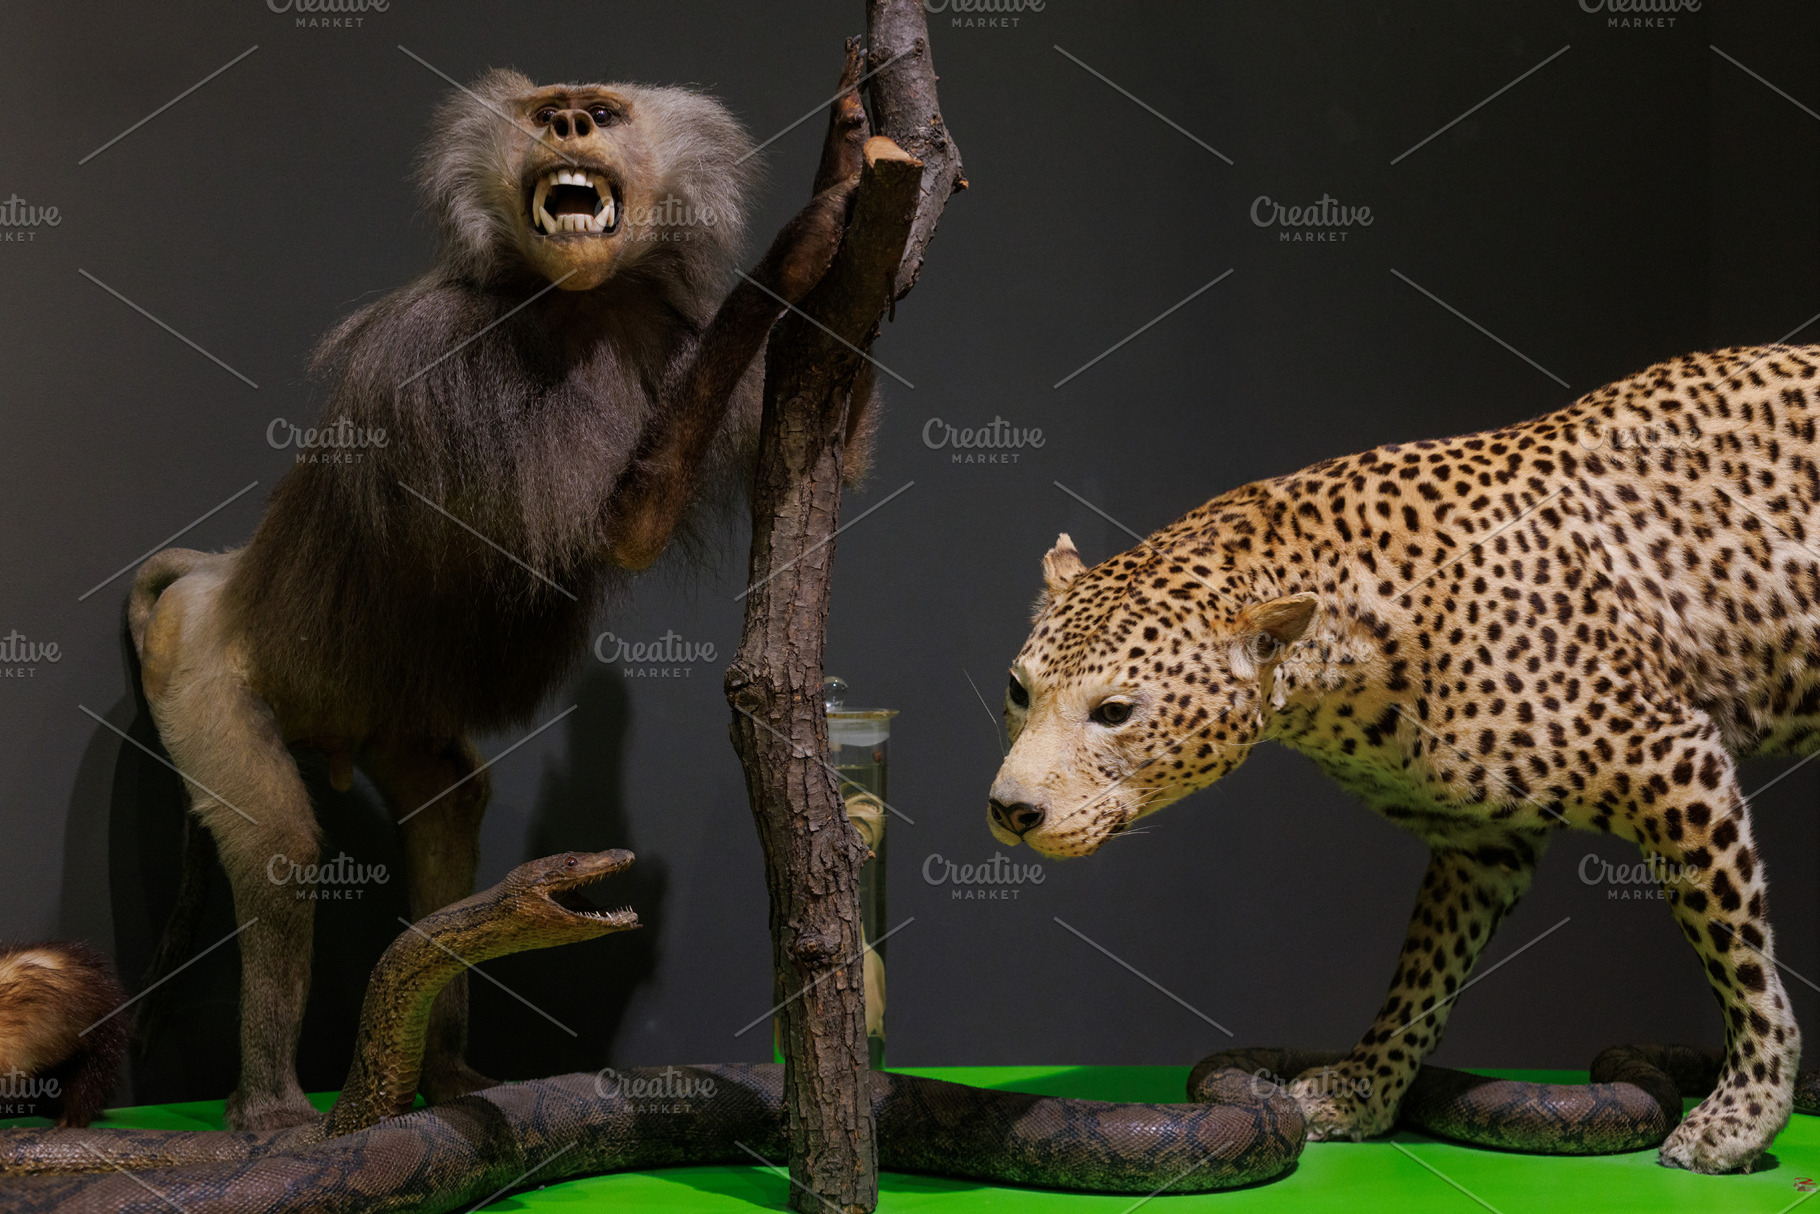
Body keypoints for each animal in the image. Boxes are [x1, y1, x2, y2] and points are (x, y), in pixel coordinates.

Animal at [121, 67, 873, 1131]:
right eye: (548, 110)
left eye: (601, 114)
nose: (567, 123)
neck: (575, 303)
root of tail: (216, 577)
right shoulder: (439, 358)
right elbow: (622, 533)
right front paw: (799, 243)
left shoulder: (668, 334)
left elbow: (835, 461)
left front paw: (857, 156)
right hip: (192, 672)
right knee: (279, 851)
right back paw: (271, 1115)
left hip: (386, 716)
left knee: (450, 811)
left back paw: (446, 1080)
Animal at [989, 345, 1820, 1173]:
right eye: (1019, 689)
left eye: (1115, 713)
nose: (1010, 810)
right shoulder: (1480, 842)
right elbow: (1424, 972)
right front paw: (1363, 1089)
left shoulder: (1674, 763)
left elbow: (1737, 954)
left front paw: (1745, 1113)